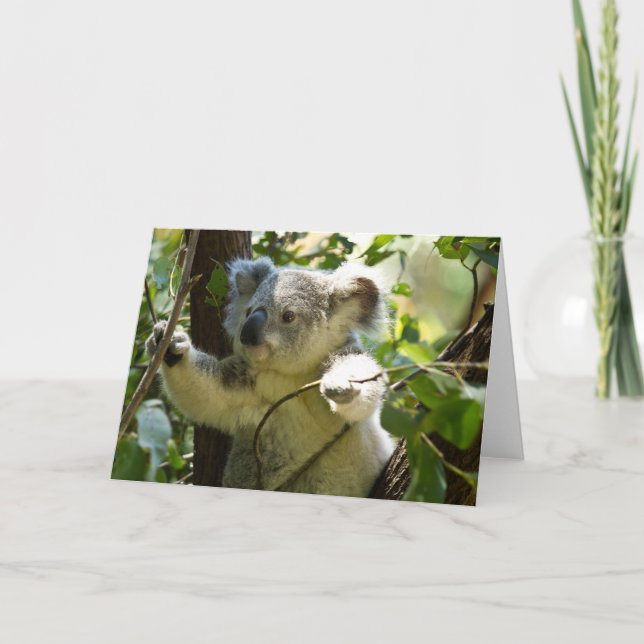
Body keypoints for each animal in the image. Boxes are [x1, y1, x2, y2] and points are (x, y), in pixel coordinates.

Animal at [146, 256, 394, 498]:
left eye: (288, 316)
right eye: (248, 312)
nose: (247, 334)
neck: (294, 374)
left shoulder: (342, 356)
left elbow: (363, 390)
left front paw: (344, 386)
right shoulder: (250, 383)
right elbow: (209, 394)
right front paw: (171, 346)